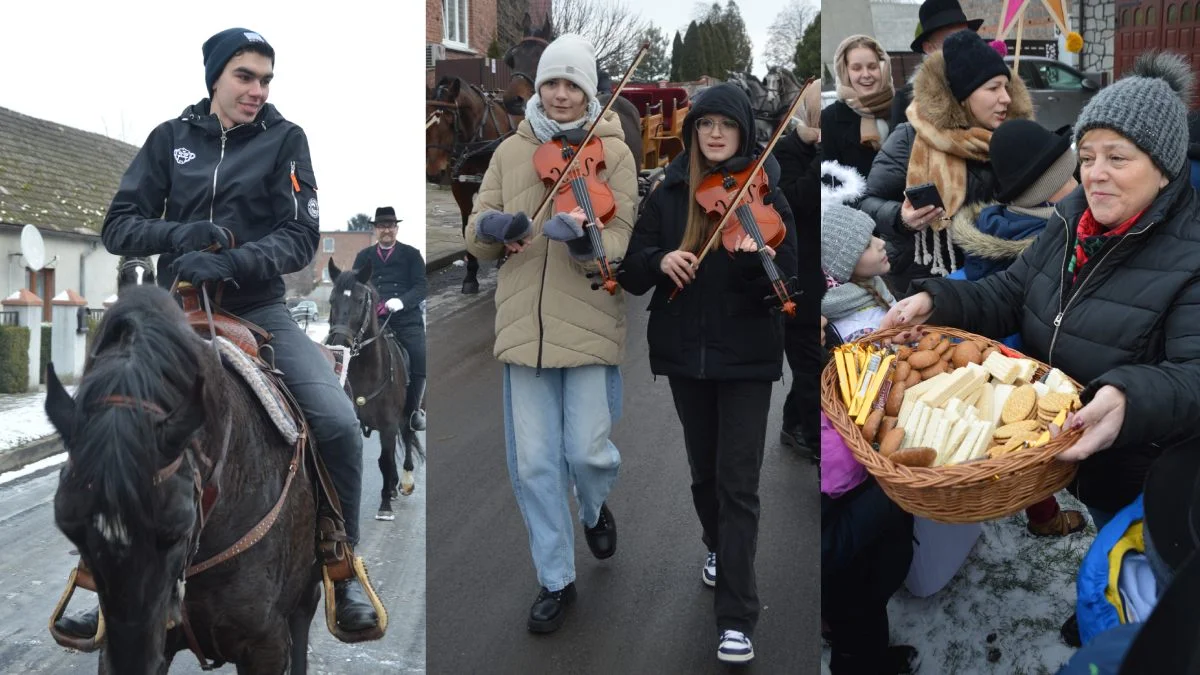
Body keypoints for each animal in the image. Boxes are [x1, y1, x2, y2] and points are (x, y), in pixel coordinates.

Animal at [326, 260, 424, 516]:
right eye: (332, 300)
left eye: (361, 300)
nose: (339, 343)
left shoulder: (389, 424)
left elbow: (385, 460)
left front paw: (385, 506)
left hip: (406, 414)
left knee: (407, 435)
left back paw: (405, 481)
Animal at [427, 74, 516, 293]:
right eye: (425, 117)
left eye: (451, 120)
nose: (433, 174)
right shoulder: (460, 187)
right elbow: (467, 225)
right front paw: (470, 276)